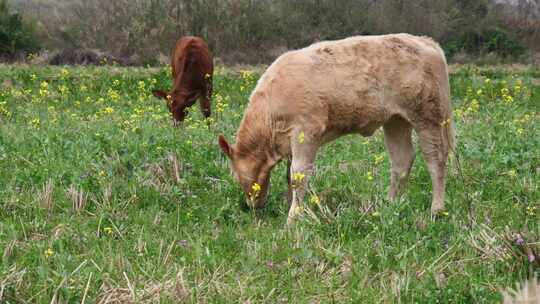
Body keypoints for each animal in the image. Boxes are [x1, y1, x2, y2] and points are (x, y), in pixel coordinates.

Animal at [217, 33, 454, 223]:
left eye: (236, 176)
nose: (251, 206)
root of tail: (424, 41)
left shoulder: (305, 132)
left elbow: (298, 176)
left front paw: (292, 219)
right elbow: (289, 176)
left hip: (428, 118)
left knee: (435, 160)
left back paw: (436, 210)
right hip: (396, 120)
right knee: (402, 160)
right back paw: (391, 204)